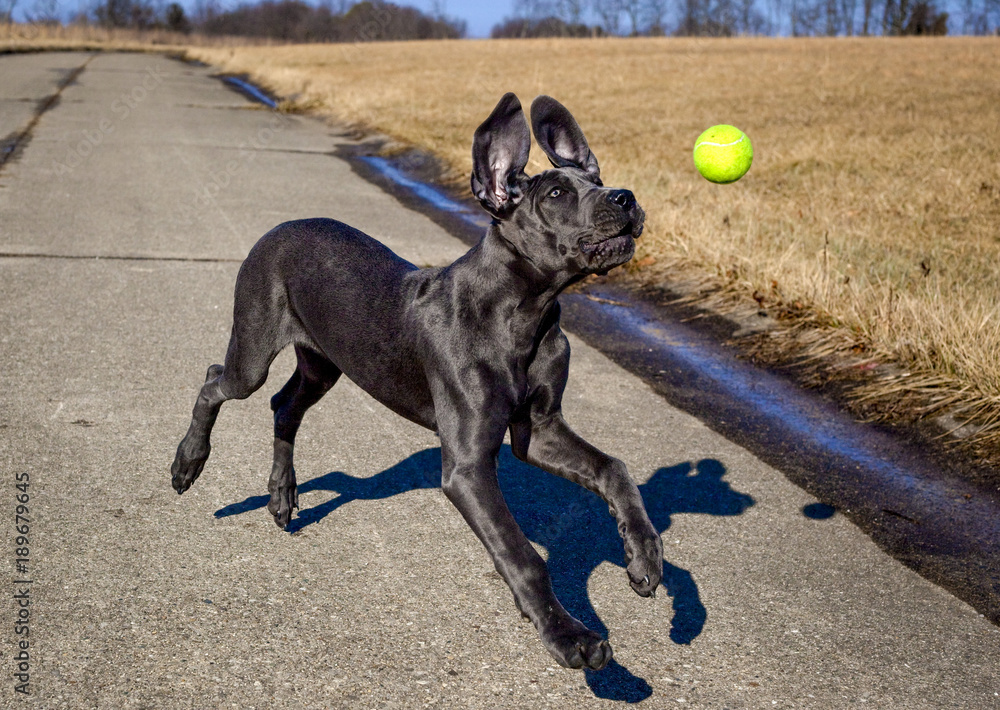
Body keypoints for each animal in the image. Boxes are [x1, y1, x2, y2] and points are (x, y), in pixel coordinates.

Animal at [174, 94, 664, 672]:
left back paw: (281, 494)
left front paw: (644, 557)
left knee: (284, 405)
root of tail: (281, 226)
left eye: (597, 177)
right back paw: (188, 463)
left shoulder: (538, 429)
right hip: (254, 350)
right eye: (557, 194)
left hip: (325, 362)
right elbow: (521, 553)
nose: (626, 196)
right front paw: (569, 636)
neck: (524, 312)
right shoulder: (467, 465)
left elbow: (615, 469)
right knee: (216, 381)